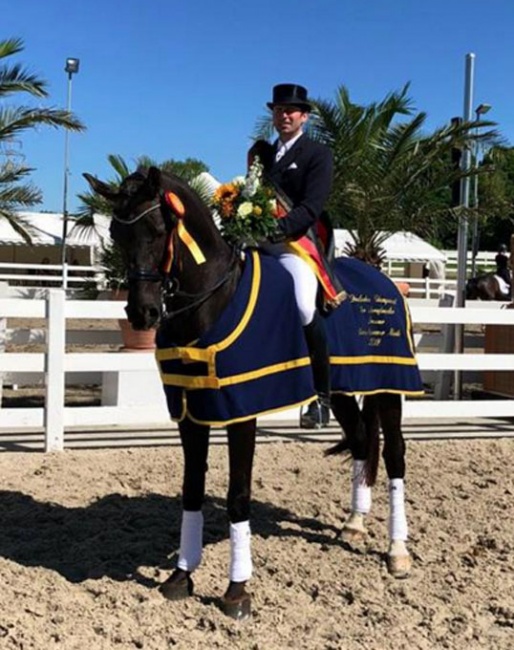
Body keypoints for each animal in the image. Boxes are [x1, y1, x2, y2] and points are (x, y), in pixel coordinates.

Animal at [84, 166, 420, 616]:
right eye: (117, 235)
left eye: (156, 229)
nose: (142, 313)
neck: (212, 299)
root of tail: (383, 279)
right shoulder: (191, 410)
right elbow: (192, 489)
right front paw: (181, 576)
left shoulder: (240, 410)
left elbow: (238, 495)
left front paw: (237, 590)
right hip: (344, 393)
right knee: (363, 441)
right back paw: (354, 523)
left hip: (389, 386)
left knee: (395, 456)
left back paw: (397, 552)